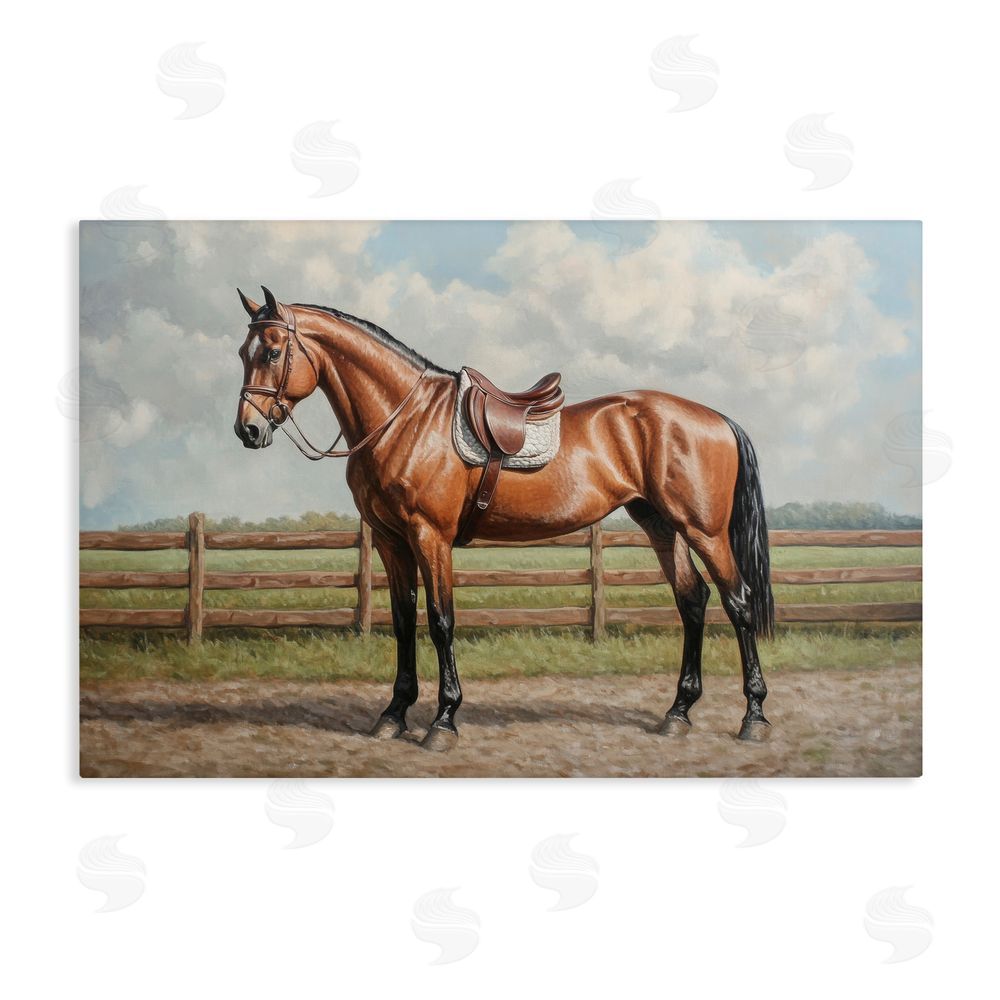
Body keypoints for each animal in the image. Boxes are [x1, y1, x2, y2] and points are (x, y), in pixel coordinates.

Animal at [234, 286, 775, 751]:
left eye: (274, 352)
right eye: (243, 352)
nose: (248, 430)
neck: (403, 419)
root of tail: (717, 419)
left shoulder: (430, 537)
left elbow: (441, 621)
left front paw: (443, 720)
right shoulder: (391, 541)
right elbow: (404, 621)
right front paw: (393, 714)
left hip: (705, 531)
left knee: (738, 602)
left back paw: (754, 717)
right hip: (663, 527)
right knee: (693, 601)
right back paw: (678, 713)